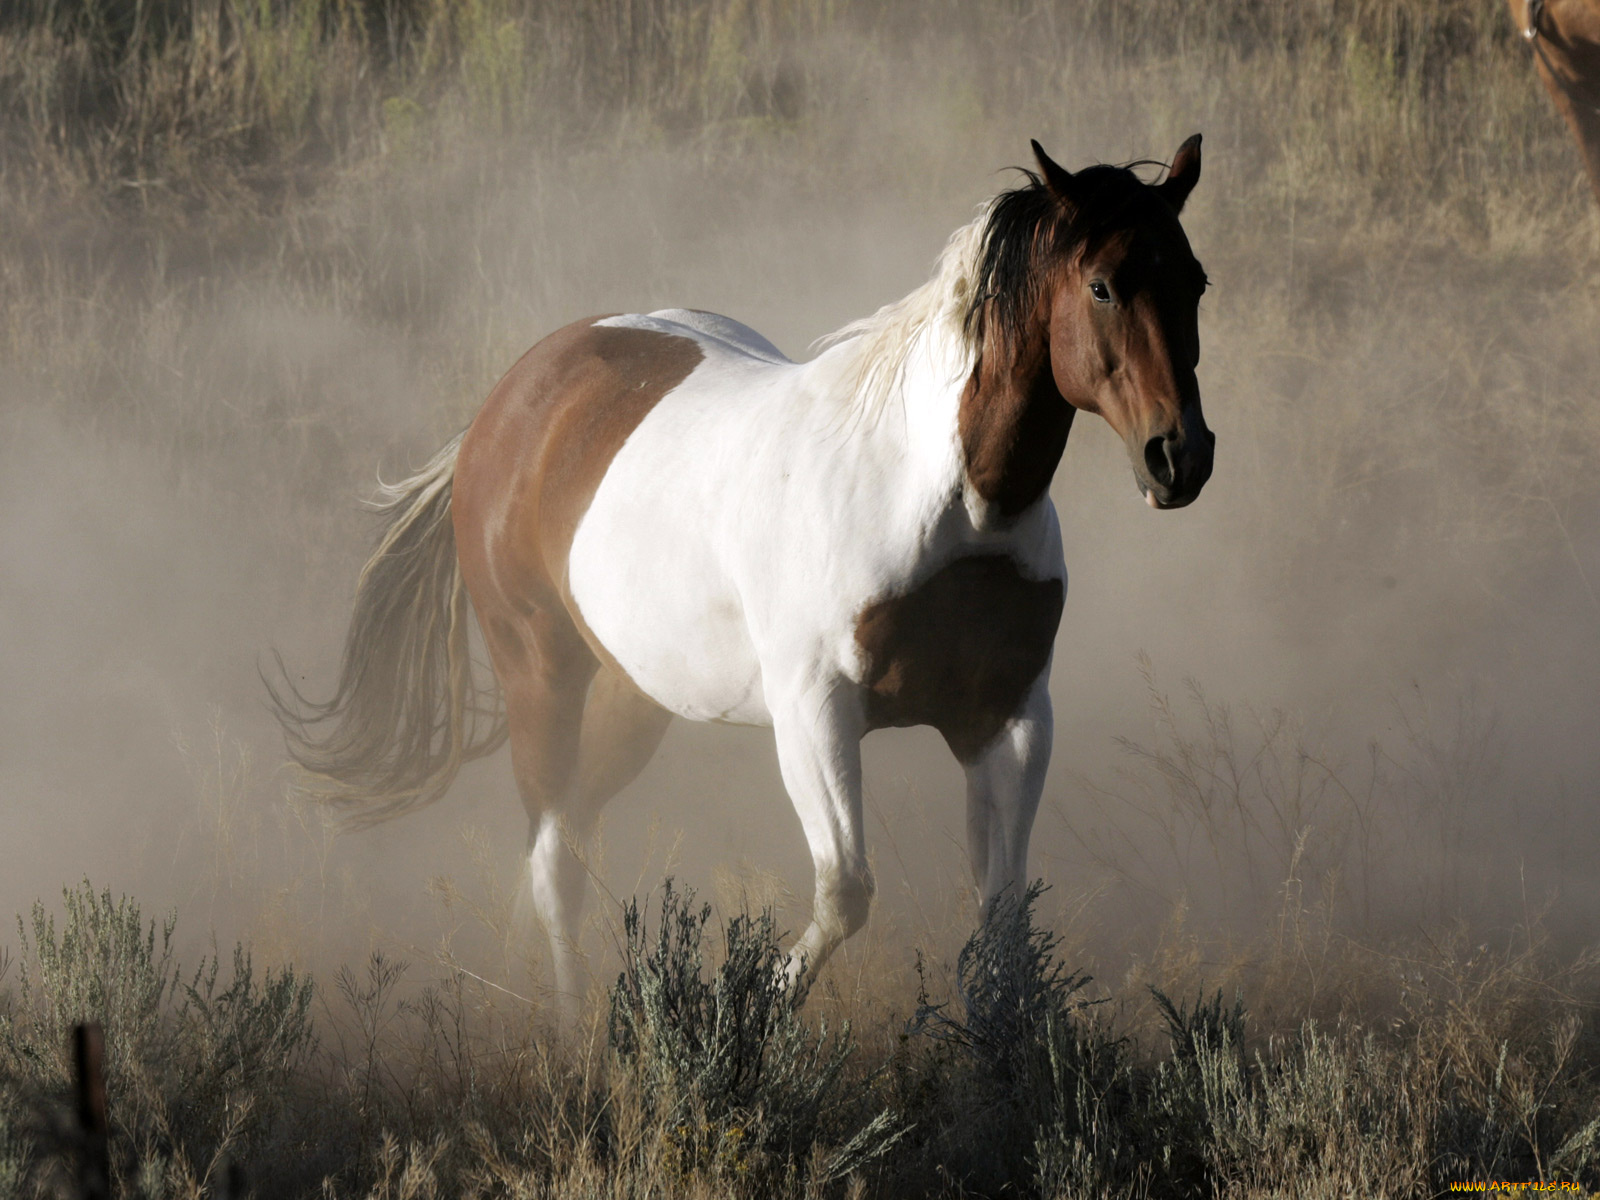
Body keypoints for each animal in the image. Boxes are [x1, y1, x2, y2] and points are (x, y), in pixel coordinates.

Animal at [275, 140, 1216, 1024]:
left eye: (1195, 282)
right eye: (1102, 286)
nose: (1180, 458)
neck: (939, 500)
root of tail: (502, 407)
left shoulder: (1009, 718)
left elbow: (1003, 922)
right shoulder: (815, 711)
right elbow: (845, 894)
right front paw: (744, 1010)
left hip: (634, 695)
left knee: (569, 830)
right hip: (539, 675)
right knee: (552, 858)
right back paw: (570, 1030)